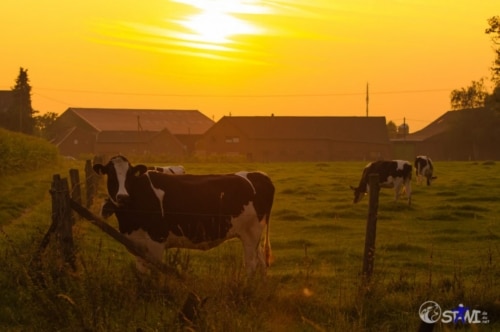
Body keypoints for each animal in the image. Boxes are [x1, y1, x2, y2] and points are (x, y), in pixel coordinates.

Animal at [94, 156, 274, 274]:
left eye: (130, 174)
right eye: (110, 174)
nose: (122, 197)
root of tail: (258, 174)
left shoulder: (156, 241)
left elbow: (155, 273)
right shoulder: (137, 245)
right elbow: (142, 274)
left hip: (251, 234)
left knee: (251, 265)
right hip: (254, 236)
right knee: (261, 263)